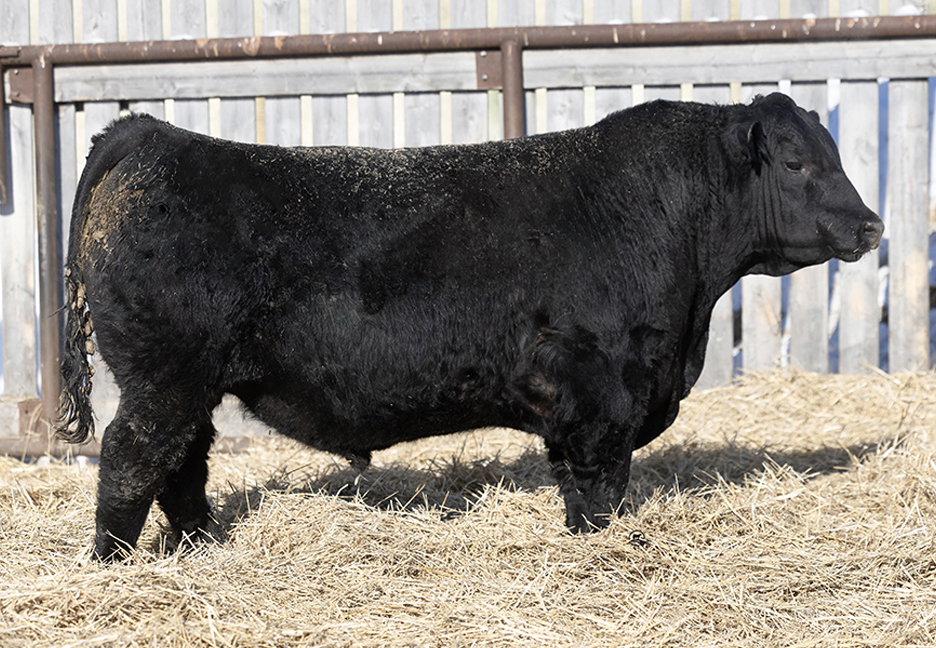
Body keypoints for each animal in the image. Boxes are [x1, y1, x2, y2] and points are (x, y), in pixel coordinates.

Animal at [58, 93, 883, 561]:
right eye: (796, 163)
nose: (872, 225)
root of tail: (151, 135)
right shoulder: (600, 393)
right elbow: (600, 485)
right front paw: (602, 545)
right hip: (164, 380)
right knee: (131, 457)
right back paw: (113, 563)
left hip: (188, 385)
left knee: (182, 465)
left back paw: (201, 547)